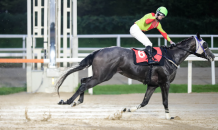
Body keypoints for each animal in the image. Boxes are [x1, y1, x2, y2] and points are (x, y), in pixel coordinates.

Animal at [55, 33, 215, 119]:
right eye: (206, 45)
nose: (213, 56)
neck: (170, 57)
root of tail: (98, 51)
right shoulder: (165, 83)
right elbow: (165, 101)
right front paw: (169, 116)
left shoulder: (153, 84)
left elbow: (144, 102)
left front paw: (127, 110)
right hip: (103, 76)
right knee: (84, 84)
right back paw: (68, 101)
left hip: (99, 75)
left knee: (83, 81)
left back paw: (77, 101)